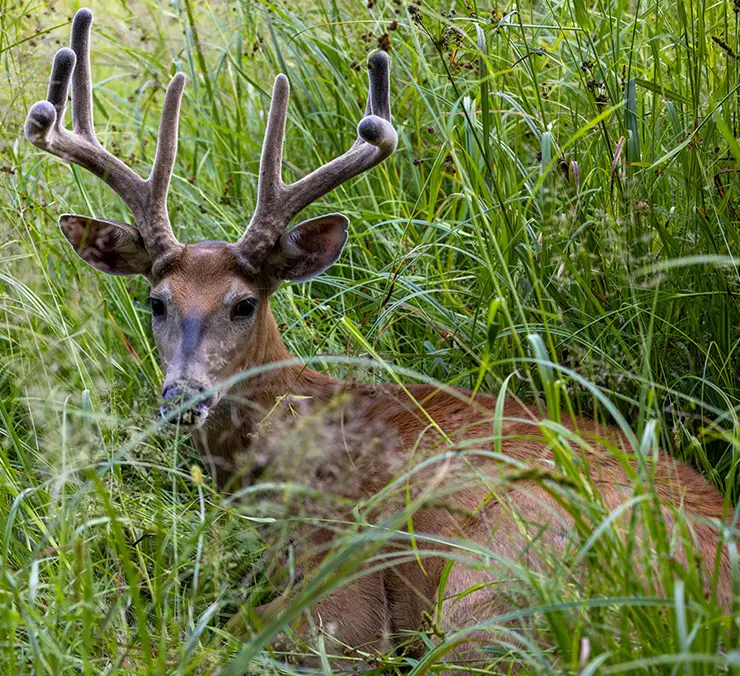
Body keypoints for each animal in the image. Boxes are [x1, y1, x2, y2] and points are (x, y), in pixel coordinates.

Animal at [26, 7, 736, 672]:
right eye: (156, 302)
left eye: (244, 304)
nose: (183, 396)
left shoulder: (345, 581)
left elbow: (222, 639)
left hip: (492, 583)